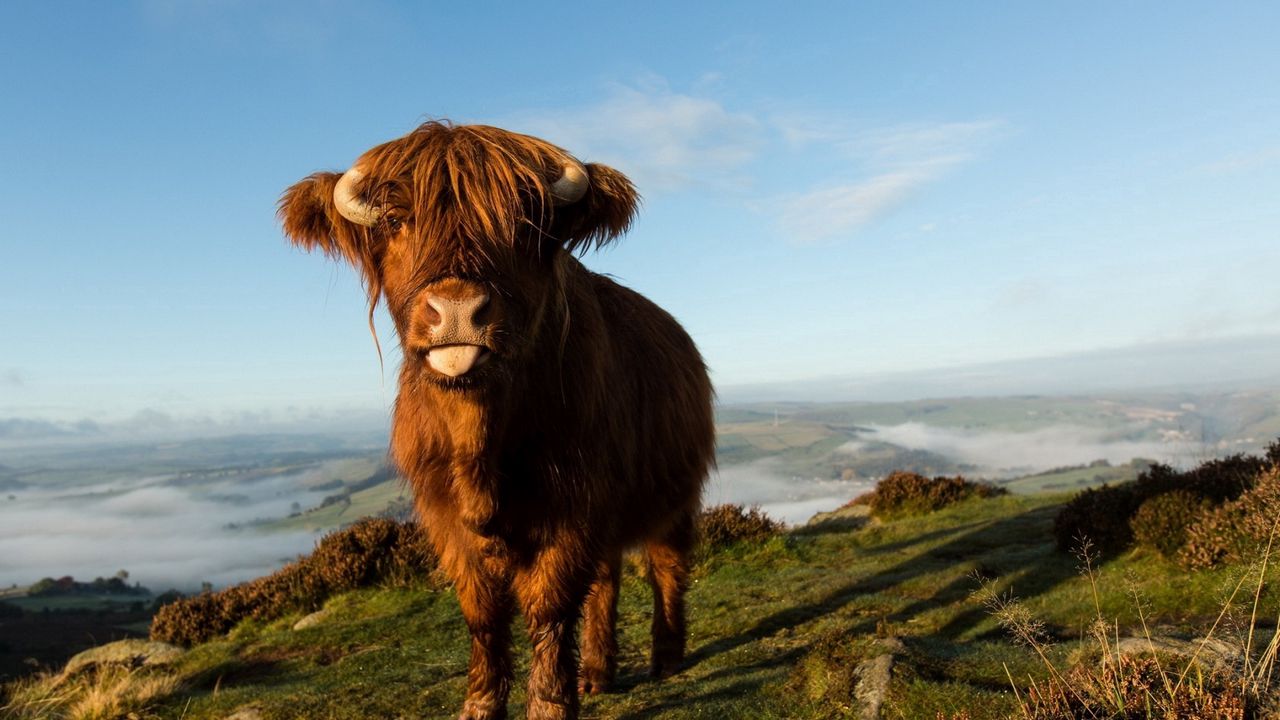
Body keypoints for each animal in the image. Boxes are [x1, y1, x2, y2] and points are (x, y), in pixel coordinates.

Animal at [280, 120, 716, 712]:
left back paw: (666, 657)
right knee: (606, 578)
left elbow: (549, 605)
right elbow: (482, 610)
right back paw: (596, 672)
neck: (479, 442)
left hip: (675, 492)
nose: (458, 310)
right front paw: (482, 702)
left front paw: (550, 704)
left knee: (665, 565)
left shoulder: (575, 502)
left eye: (524, 228)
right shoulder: (443, 511)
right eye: (395, 220)